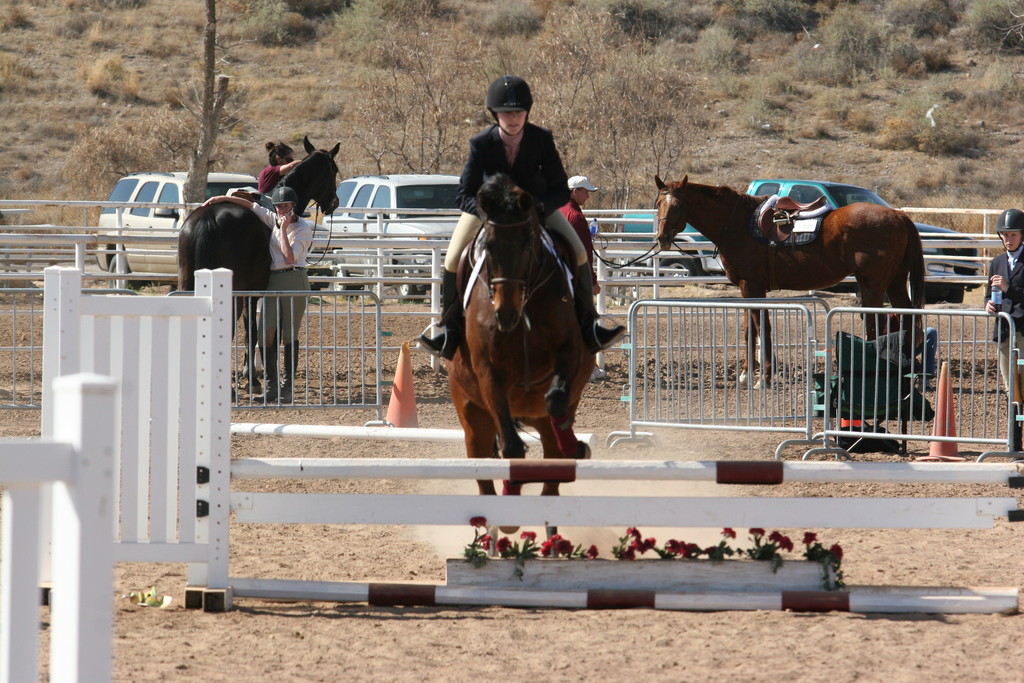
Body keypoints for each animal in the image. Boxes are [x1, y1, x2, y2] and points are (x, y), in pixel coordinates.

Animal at [178, 136, 342, 393]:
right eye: (333, 170)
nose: (334, 202)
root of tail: (208, 219)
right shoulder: (255, 291)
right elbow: (254, 330)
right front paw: (252, 378)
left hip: (186, 283)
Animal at [446, 174, 593, 499]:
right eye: (487, 245)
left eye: (528, 244)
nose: (505, 314)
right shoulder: (488, 373)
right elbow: (512, 447)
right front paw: (512, 481)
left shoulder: (570, 352)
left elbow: (556, 399)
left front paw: (576, 446)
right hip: (473, 419)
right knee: (487, 467)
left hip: (539, 416)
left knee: (552, 462)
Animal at [655, 174, 929, 387]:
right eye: (658, 203)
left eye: (679, 205)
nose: (662, 237)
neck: (737, 224)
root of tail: (898, 216)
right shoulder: (746, 288)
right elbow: (749, 330)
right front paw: (745, 375)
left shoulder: (752, 287)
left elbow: (762, 329)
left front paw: (764, 378)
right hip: (894, 282)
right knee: (908, 318)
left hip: (872, 285)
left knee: (876, 325)